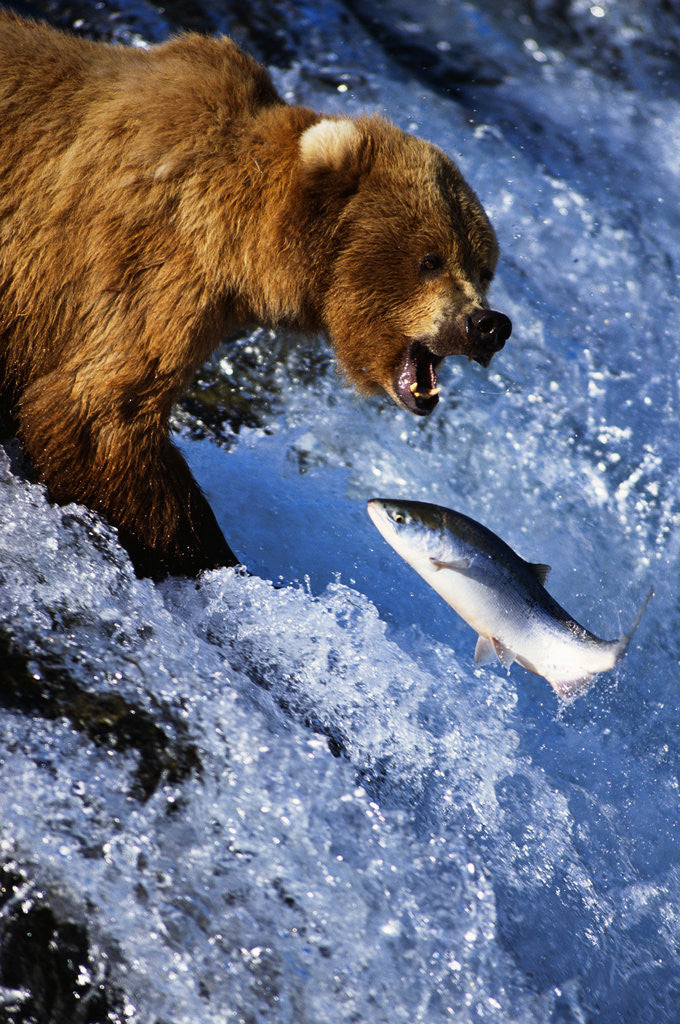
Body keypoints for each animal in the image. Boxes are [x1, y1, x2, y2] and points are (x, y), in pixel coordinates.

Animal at [0, 11, 511, 579]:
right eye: (430, 259)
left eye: (484, 267)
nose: (488, 324)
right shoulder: (148, 254)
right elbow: (98, 410)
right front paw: (214, 558)